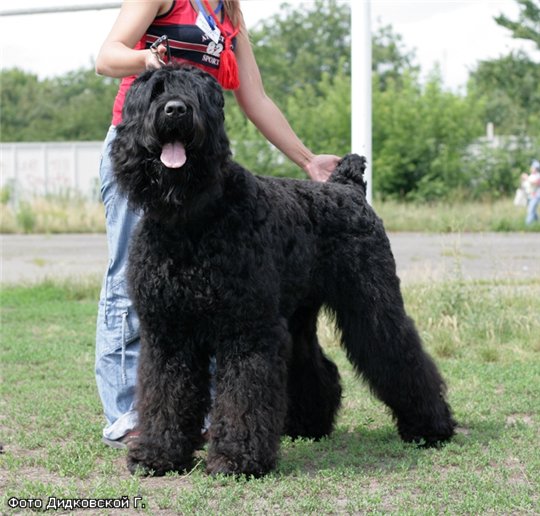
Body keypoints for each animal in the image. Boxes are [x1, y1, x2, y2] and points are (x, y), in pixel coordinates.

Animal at [110, 64, 456, 480]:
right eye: (155, 91)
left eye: (197, 93)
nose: (176, 110)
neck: (191, 220)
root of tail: (349, 188)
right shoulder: (168, 332)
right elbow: (166, 393)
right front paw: (159, 453)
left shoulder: (248, 329)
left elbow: (243, 395)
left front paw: (237, 458)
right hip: (298, 317)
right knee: (315, 365)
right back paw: (309, 424)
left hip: (371, 303)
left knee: (399, 353)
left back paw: (430, 427)